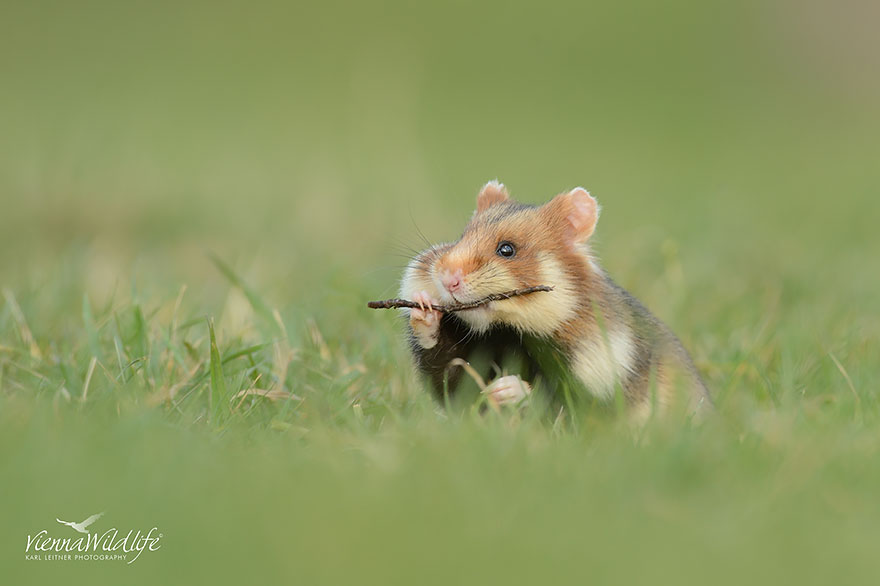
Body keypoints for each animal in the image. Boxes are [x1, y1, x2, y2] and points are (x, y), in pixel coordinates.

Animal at [399, 181, 710, 420]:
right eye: (461, 236)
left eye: (507, 249)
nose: (446, 277)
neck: (510, 330)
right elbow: (447, 377)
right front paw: (423, 307)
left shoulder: (602, 378)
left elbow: (560, 398)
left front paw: (504, 389)